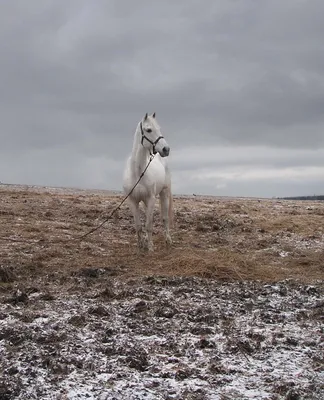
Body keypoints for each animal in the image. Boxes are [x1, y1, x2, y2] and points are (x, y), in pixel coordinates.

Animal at [122, 112, 173, 252]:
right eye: (149, 130)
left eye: (159, 128)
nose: (166, 149)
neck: (138, 173)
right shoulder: (133, 201)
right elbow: (139, 225)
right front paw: (140, 246)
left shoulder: (151, 199)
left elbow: (149, 225)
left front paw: (150, 247)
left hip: (164, 193)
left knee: (165, 218)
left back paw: (168, 239)